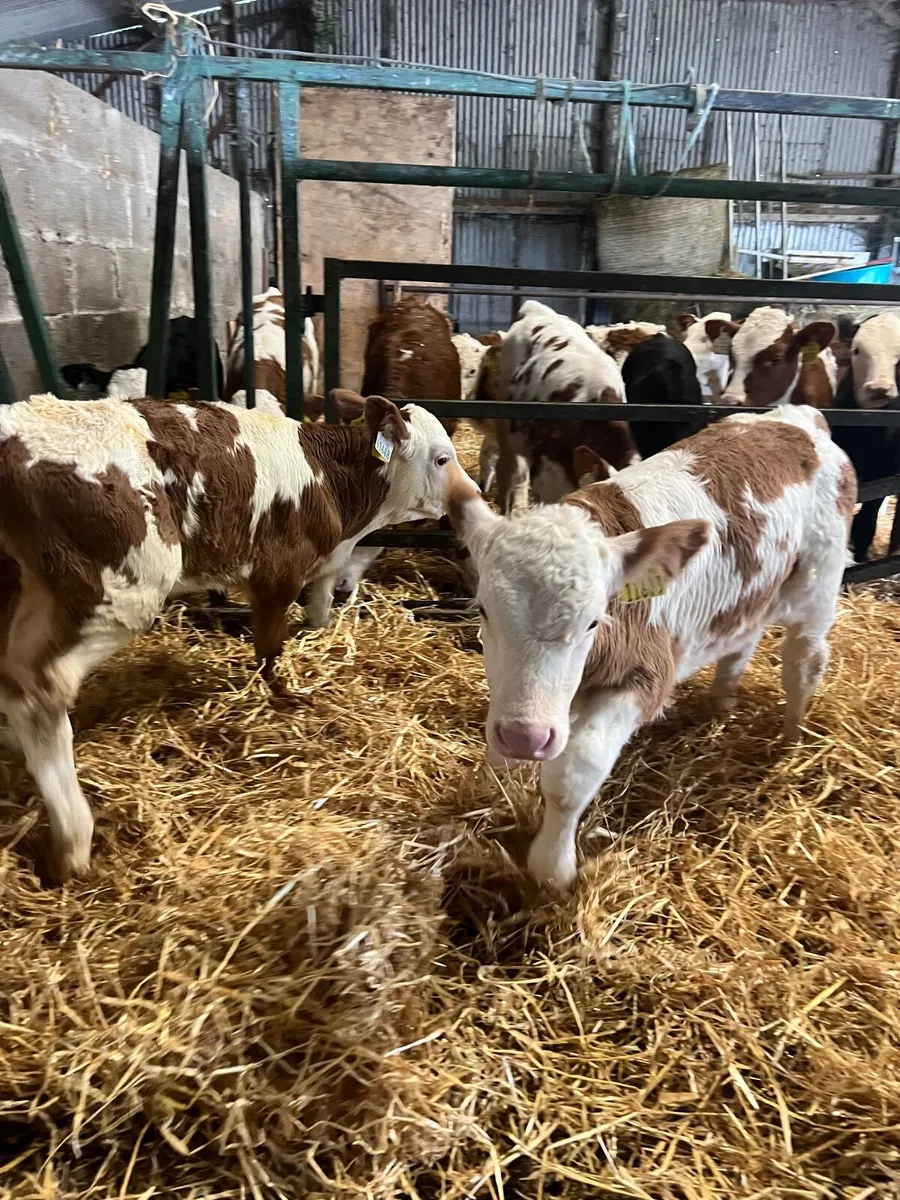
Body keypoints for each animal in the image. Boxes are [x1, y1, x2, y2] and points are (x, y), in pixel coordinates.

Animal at [0, 391, 466, 880]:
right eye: (442, 459)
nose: (466, 499)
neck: (328, 479)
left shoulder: (319, 569)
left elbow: (317, 618)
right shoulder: (276, 573)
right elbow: (270, 648)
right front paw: (283, 698)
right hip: (124, 587)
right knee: (38, 690)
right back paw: (73, 840)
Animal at [446, 404, 854, 890]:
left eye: (593, 621)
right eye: (484, 610)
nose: (526, 736)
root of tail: (797, 417)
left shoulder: (645, 675)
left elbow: (573, 773)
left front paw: (552, 869)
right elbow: (502, 761)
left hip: (819, 583)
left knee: (803, 662)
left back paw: (791, 741)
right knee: (743, 641)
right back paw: (721, 705)